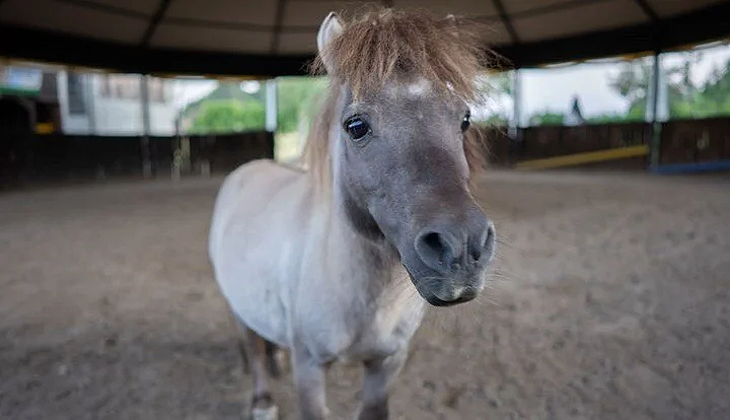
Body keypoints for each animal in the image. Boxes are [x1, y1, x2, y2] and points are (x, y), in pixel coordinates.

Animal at [208, 8, 498, 418]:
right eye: (356, 126)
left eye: (464, 119)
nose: (462, 247)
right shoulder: (310, 367)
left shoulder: (387, 364)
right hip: (237, 306)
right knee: (252, 344)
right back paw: (263, 400)